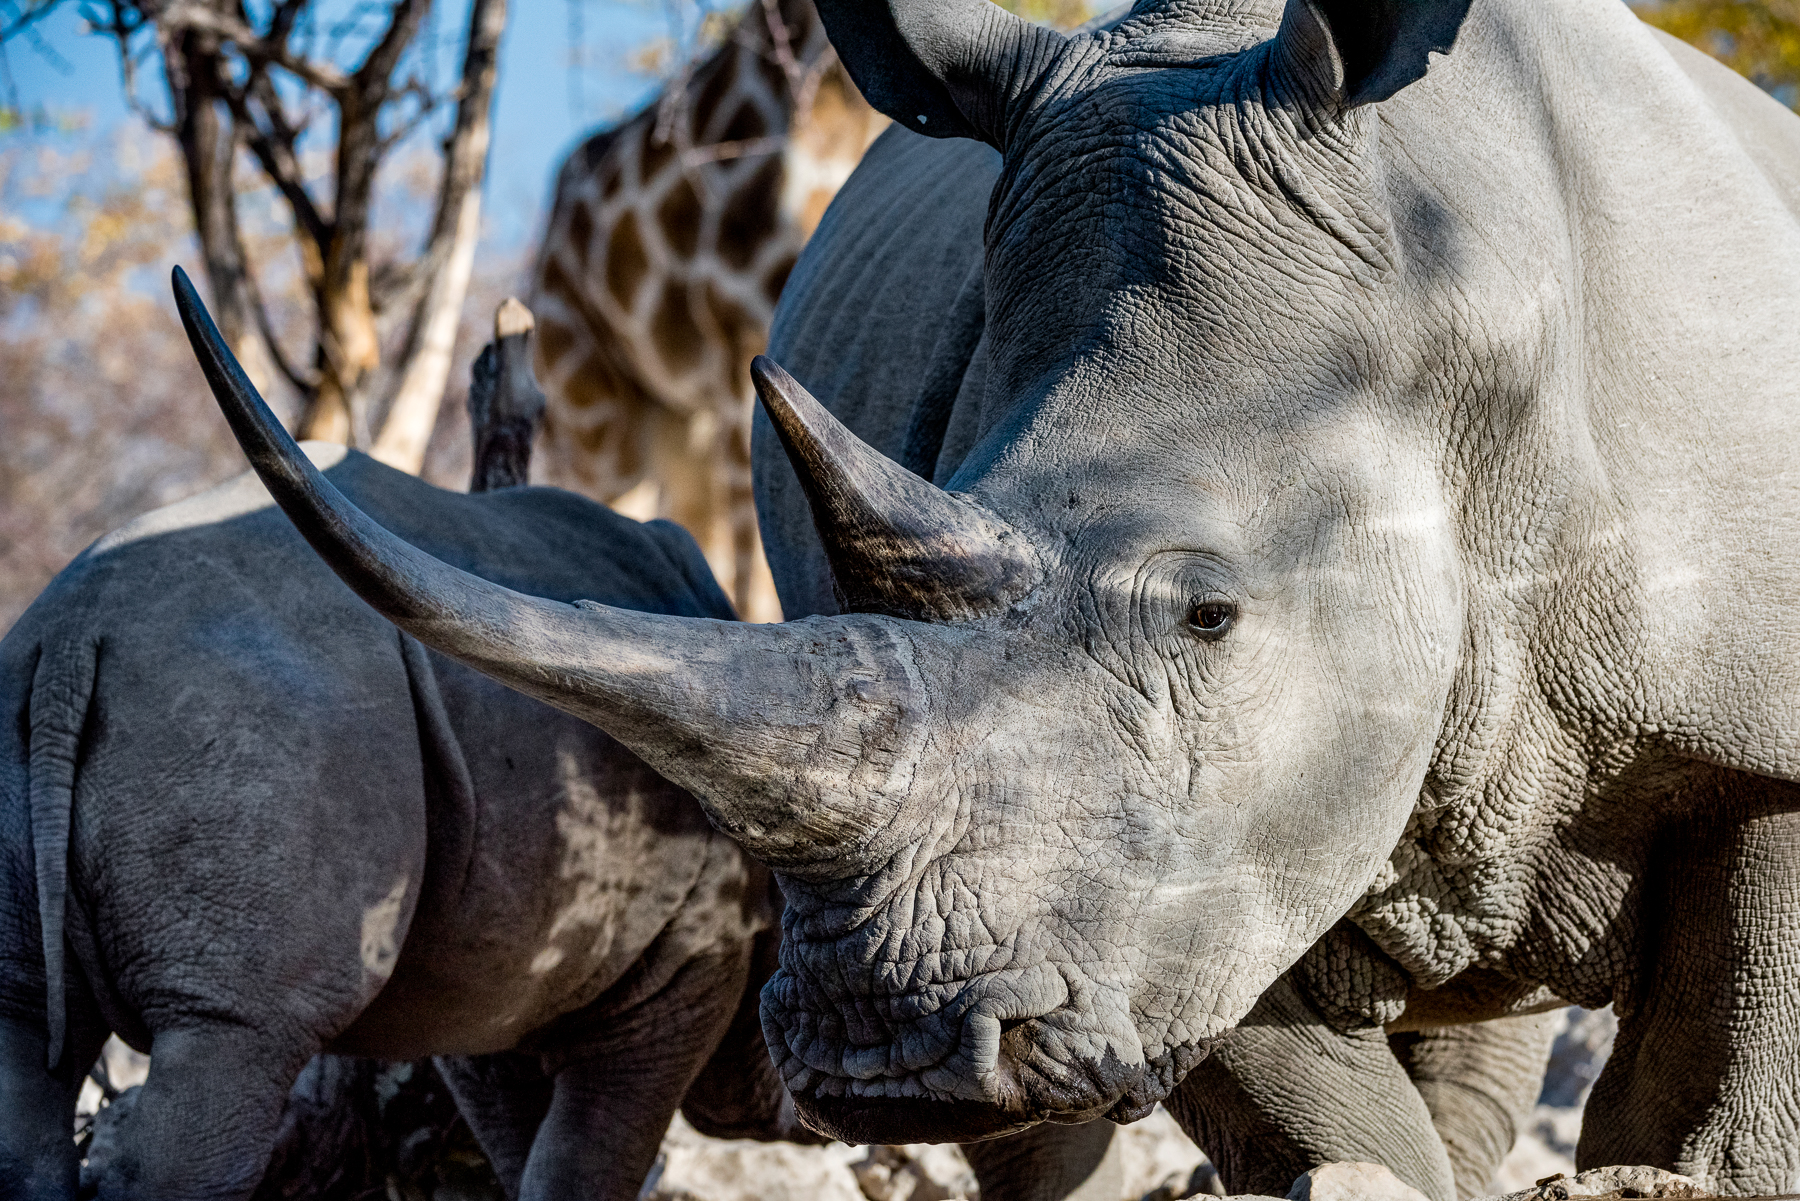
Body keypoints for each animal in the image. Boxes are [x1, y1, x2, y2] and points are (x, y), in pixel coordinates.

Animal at [170, 0, 1800, 1194]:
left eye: (1208, 616)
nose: (883, 1050)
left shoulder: (1748, 731)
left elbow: (1717, 1091)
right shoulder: (1194, 866)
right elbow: (1306, 1107)